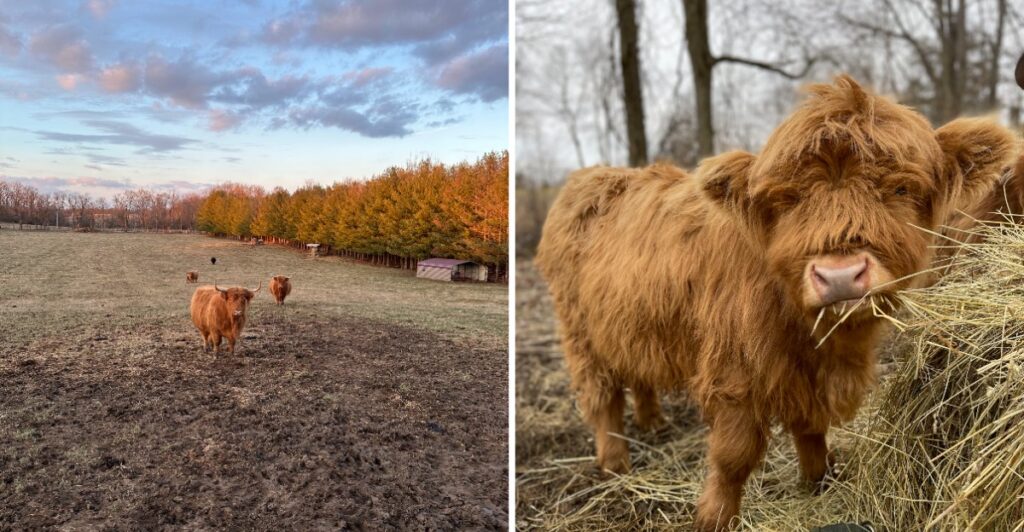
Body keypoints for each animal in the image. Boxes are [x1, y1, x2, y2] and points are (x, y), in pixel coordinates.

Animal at [535, 75, 1017, 531]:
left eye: (900, 188)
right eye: (788, 198)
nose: (839, 275)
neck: (814, 336)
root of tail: (590, 177)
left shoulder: (808, 373)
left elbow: (811, 427)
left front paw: (819, 479)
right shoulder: (735, 373)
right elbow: (734, 455)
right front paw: (715, 517)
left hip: (631, 321)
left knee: (637, 370)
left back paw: (653, 422)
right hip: (579, 330)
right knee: (601, 395)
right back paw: (615, 462)